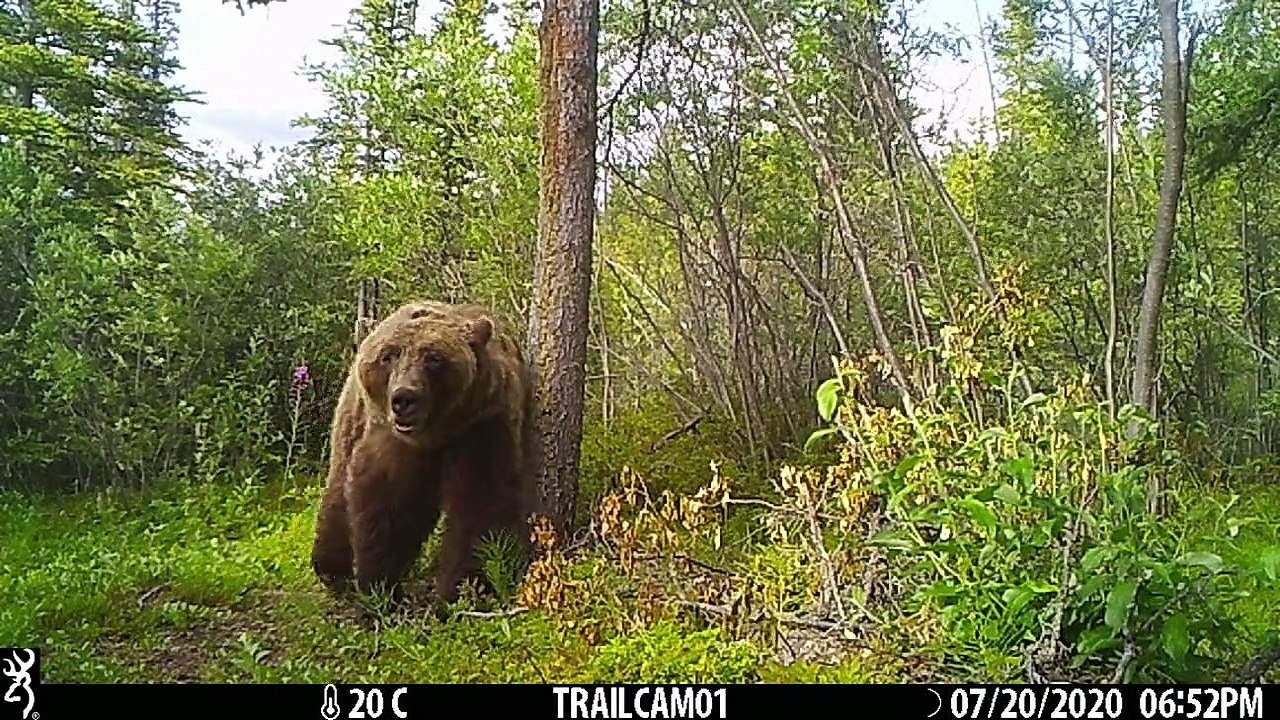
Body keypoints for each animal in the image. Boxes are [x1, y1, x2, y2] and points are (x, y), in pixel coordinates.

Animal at [310, 299, 538, 612]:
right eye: (389, 356)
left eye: (433, 358)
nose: (403, 398)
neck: (437, 432)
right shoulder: (394, 440)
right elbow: (388, 504)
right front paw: (381, 589)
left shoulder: (484, 423)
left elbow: (482, 502)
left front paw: (465, 590)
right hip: (352, 415)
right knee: (337, 482)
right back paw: (332, 569)